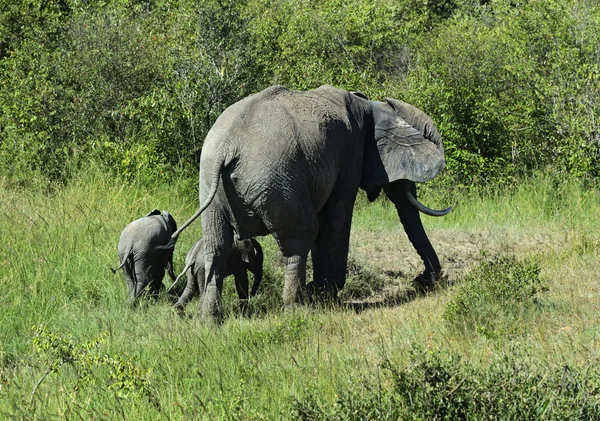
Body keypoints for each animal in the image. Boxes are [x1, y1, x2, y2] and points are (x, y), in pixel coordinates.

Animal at [166, 86, 448, 322]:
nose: (421, 280)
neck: (368, 105)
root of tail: (225, 149)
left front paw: (321, 291)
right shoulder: (350, 154)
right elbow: (336, 220)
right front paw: (327, 293)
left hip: (210, 186)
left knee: (217, 246)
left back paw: (209, 321)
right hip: (277, 180)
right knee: (298, 238)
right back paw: (296, 309)